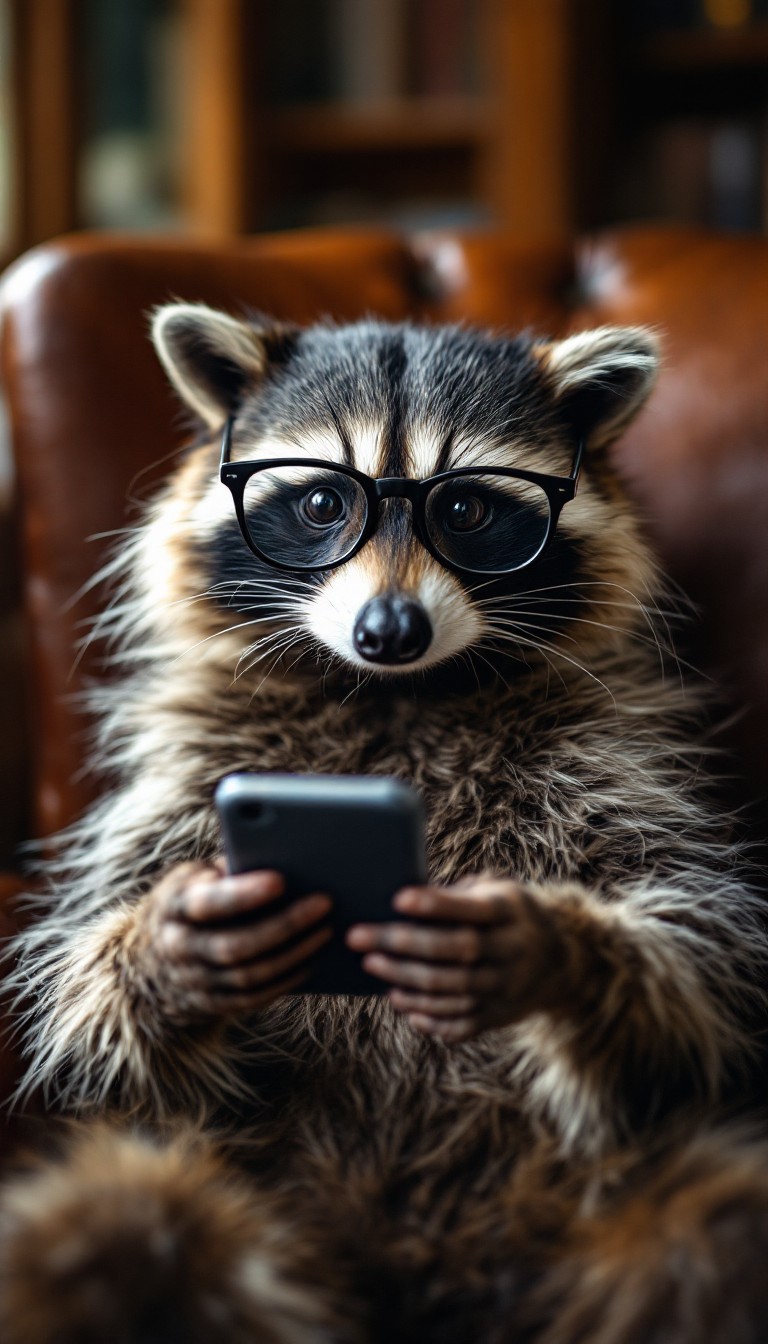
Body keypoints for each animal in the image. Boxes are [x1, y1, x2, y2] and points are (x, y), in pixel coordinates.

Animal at [3, 310, 768, 1344]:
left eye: (468, 511)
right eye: (325, 502)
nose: (389, 630)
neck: (397, 696)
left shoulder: (610, 763)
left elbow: (694, 949)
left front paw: (551, 949)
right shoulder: (181, 772)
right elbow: (91, 1004)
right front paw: (172, 948)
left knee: (719, 1231)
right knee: (107, 1234)